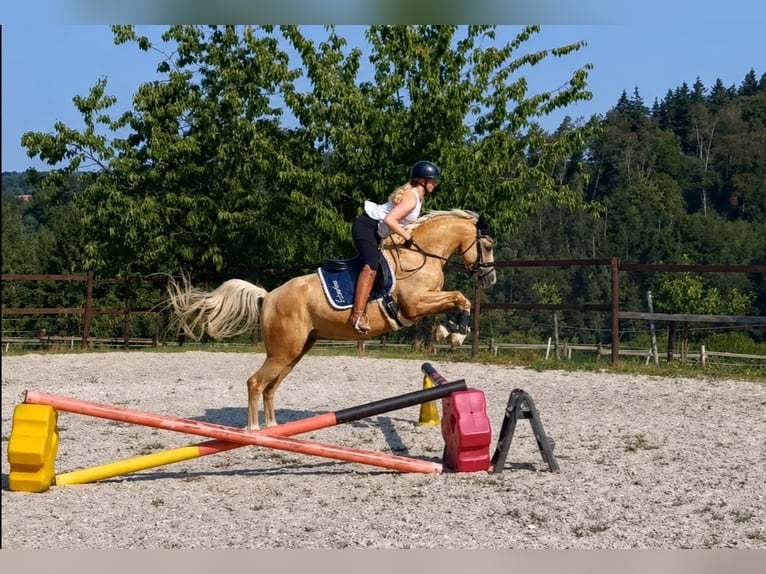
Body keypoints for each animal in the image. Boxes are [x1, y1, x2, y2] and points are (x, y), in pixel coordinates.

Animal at [167, 209, 496, 430]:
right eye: (488, 246)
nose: (490, 279)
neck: (421, 255)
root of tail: (270, 295)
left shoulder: (426, 301)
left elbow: (458, 300)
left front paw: (450, 330)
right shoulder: (414, 305)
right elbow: (459, 297)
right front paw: (454, 332)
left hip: (296, 351)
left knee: (271, 387)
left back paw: (273, 427)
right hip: (283, 351)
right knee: (256, 382)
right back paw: (255, 431)